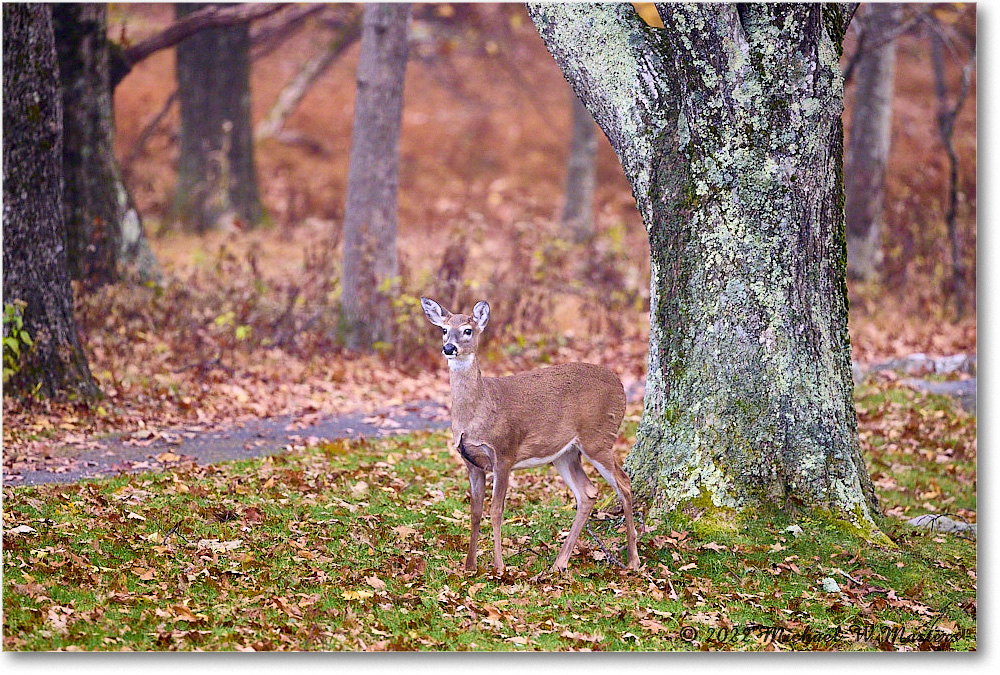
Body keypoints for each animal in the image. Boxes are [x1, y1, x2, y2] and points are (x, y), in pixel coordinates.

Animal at [420, 298, 640, 576]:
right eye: (444, 329)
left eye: (468, 330)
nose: (449, 348)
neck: (478, 409)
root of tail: (620, 384)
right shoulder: (471, 462)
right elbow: (475, 511)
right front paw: (469, 566)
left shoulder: (504, 453)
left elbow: (496, 510)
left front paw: (499, 567)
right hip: (566, 453)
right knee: (588, 492)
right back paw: (559, 563)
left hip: (598, 437)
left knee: (624, 482)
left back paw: (633, 560)